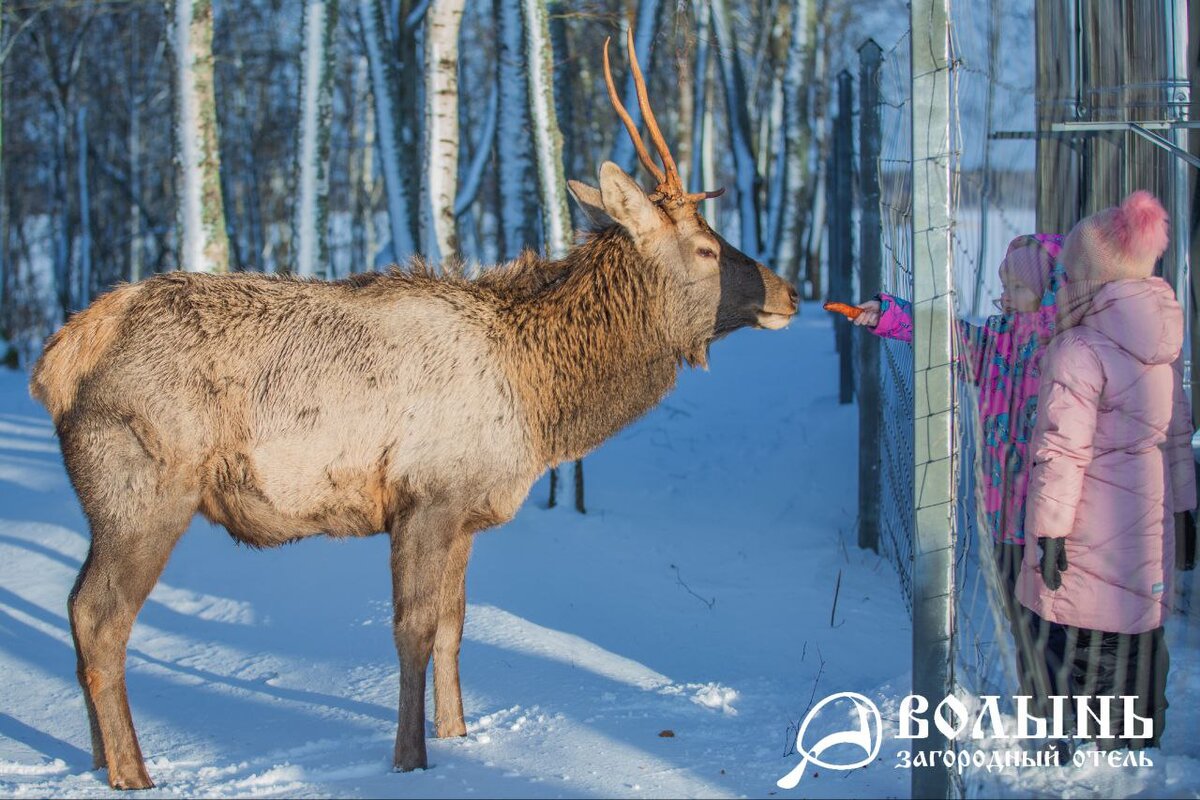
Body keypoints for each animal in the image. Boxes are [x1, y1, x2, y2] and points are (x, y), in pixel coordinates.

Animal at [28, 29, 796, 786]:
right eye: (706, 246)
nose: (788, 292)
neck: (540, 403)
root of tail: (60, 359)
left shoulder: (465, 512)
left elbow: (455, 626)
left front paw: (460, 736)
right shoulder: (425, 496)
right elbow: (414, 630)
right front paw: (409, 758)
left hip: (106, 499)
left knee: (73, 607)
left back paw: (99, 761)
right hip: (145, 487)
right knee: (100, 616)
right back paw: (133, 773)